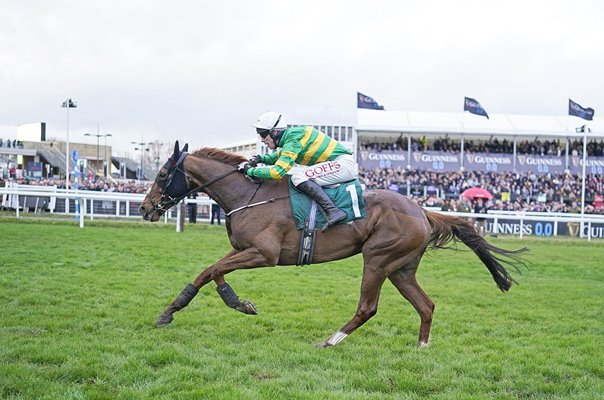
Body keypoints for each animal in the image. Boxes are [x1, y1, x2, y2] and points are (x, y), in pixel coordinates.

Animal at [139, 142, 528, 348]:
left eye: (162, 174)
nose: (144, 208)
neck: (249, 195)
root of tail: (422, 210)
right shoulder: (242, 251)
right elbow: (212, 272)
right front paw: (238, 303)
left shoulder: (264, 254)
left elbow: (211, 270)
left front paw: (172, 311)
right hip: (401, 268)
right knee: (427, 305)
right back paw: (422, 347)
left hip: (378, 259)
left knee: (367, 308)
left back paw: (330, 341)